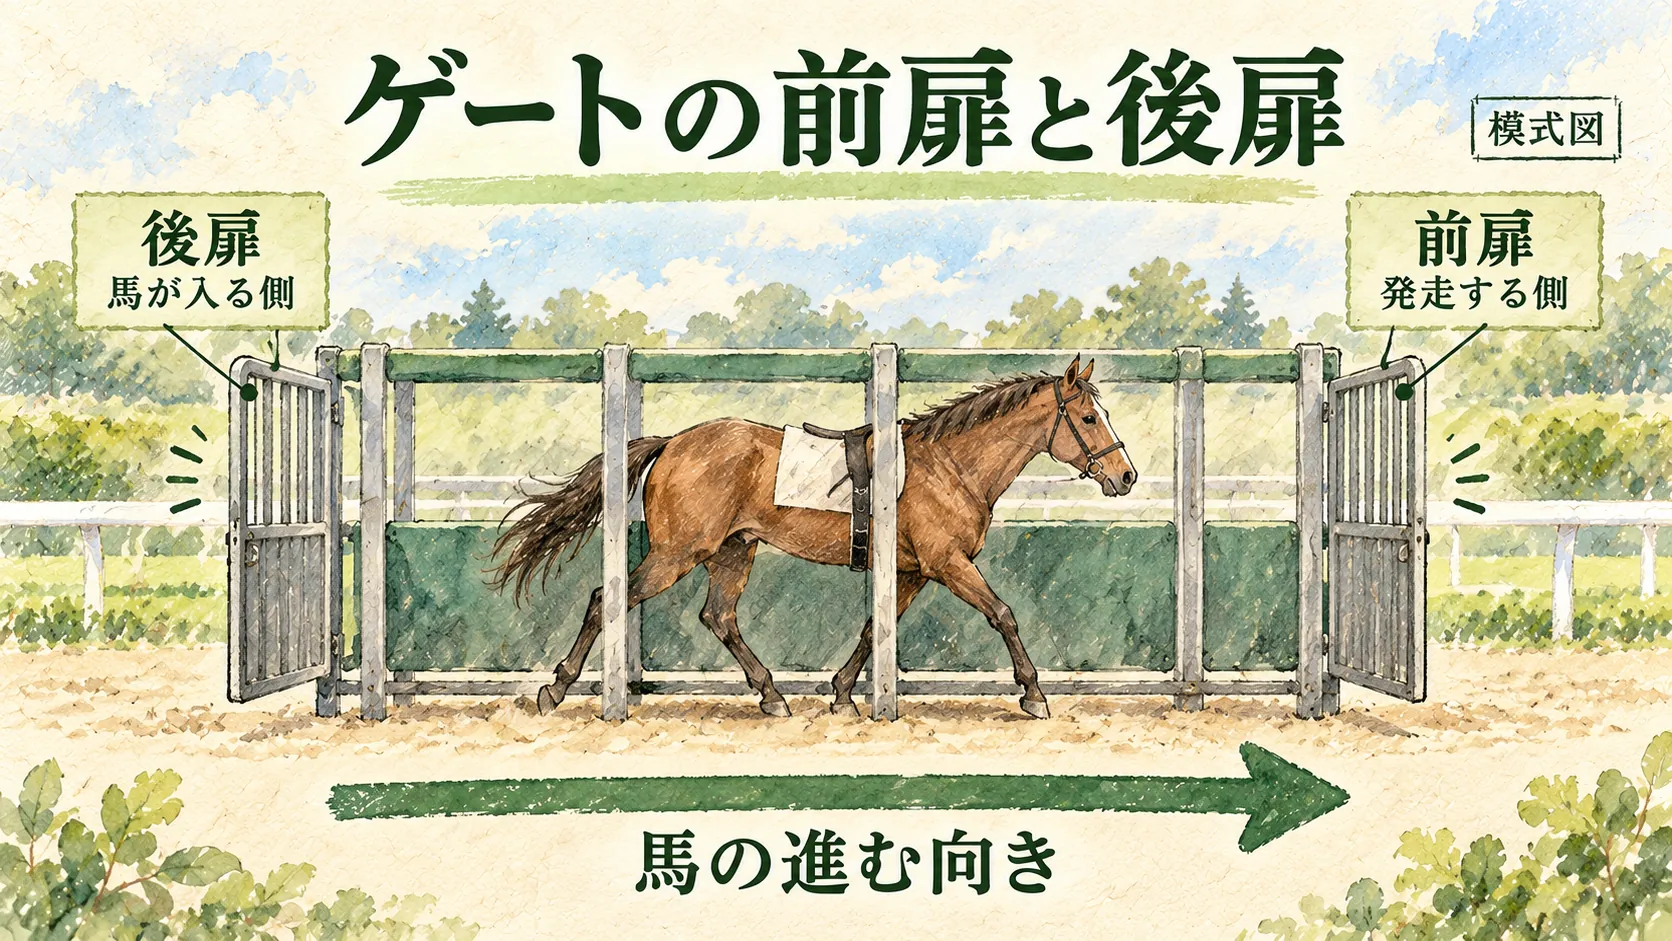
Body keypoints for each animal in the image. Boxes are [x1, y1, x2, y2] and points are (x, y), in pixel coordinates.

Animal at [488, 354, 1137, 719]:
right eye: (1087, 418)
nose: (1126, 476)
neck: (949, 466)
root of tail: (672, 442)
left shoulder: (910, 572)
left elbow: (876, 628)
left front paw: (844, 693)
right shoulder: (947, 563)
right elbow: (1003, 613)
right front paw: (1034, 695)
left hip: (733, 551)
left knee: (718, 618)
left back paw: (772, 696)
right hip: (680, 552)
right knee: (609, 598)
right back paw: (556, 689)